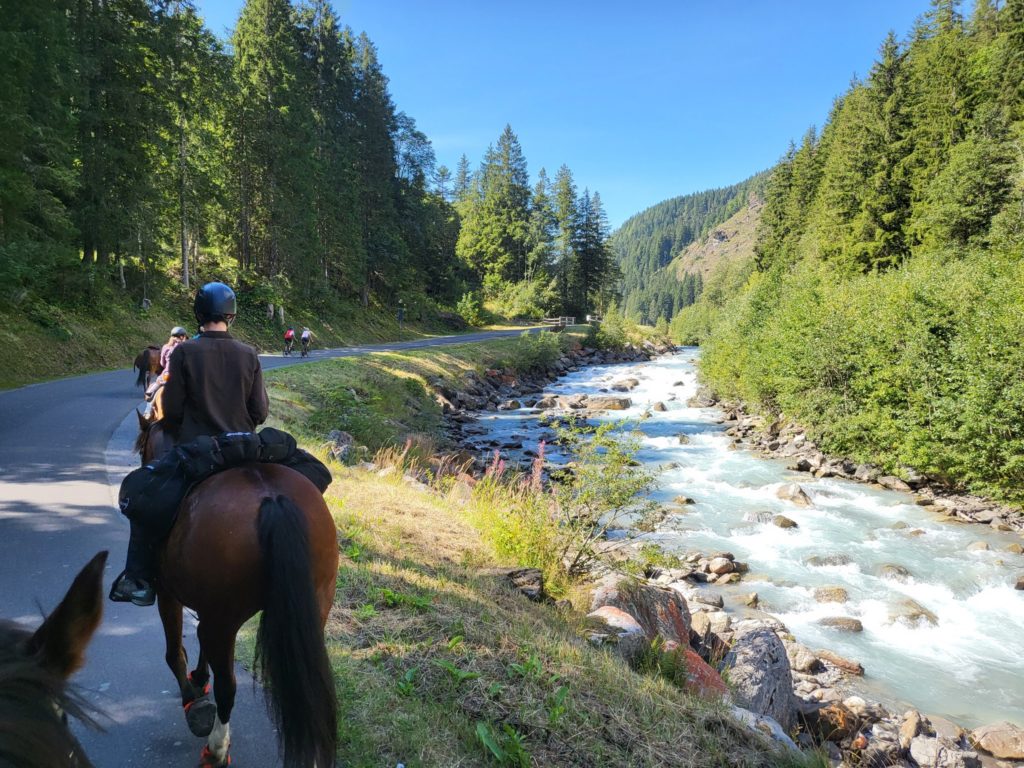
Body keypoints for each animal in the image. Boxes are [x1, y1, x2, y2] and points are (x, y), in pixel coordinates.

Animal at [135, 416, 339, 768]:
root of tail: (272, 498)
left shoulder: (168, 594)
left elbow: (174, 652)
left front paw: (193, 701)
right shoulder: (207, 608)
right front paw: (199, 679)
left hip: (224, 620)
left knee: (227, 687)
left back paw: (216, 749)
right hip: (315, 604)